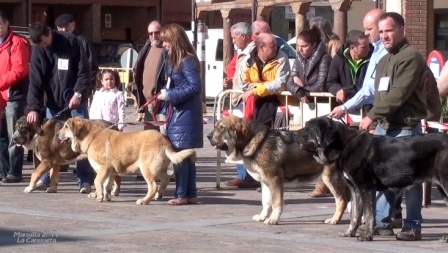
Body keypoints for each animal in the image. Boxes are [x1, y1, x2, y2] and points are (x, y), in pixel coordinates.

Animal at [206, 115, 350, 225]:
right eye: (216, 126)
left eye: (222, 128)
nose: (208, 136)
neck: (255, 142)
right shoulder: (265, 182)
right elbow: (266, 202)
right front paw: (263, 216)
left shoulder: (274, 179)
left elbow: (276, 203)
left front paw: (273, 220)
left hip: (329, 177)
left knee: (342, 200)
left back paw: (334, 219)